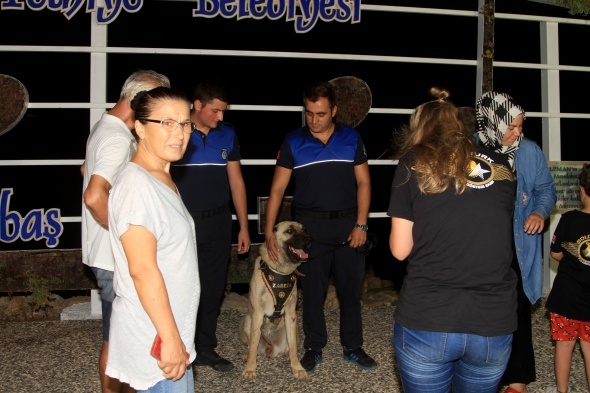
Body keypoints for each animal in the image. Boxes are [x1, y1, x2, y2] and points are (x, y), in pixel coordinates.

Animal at [240, 220, 314, 380]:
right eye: (290, 231)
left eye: (304, 229)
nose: (309, 239)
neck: (280, 271)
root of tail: (271, 348)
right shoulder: (257, 314)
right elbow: (253, 344)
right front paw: (250, 368)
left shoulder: (291, 314)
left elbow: (293, 347)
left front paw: (297, 368)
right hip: (248, 320)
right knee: (250, 345)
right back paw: (247, 355)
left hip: (294, 328)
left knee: (290, 346)